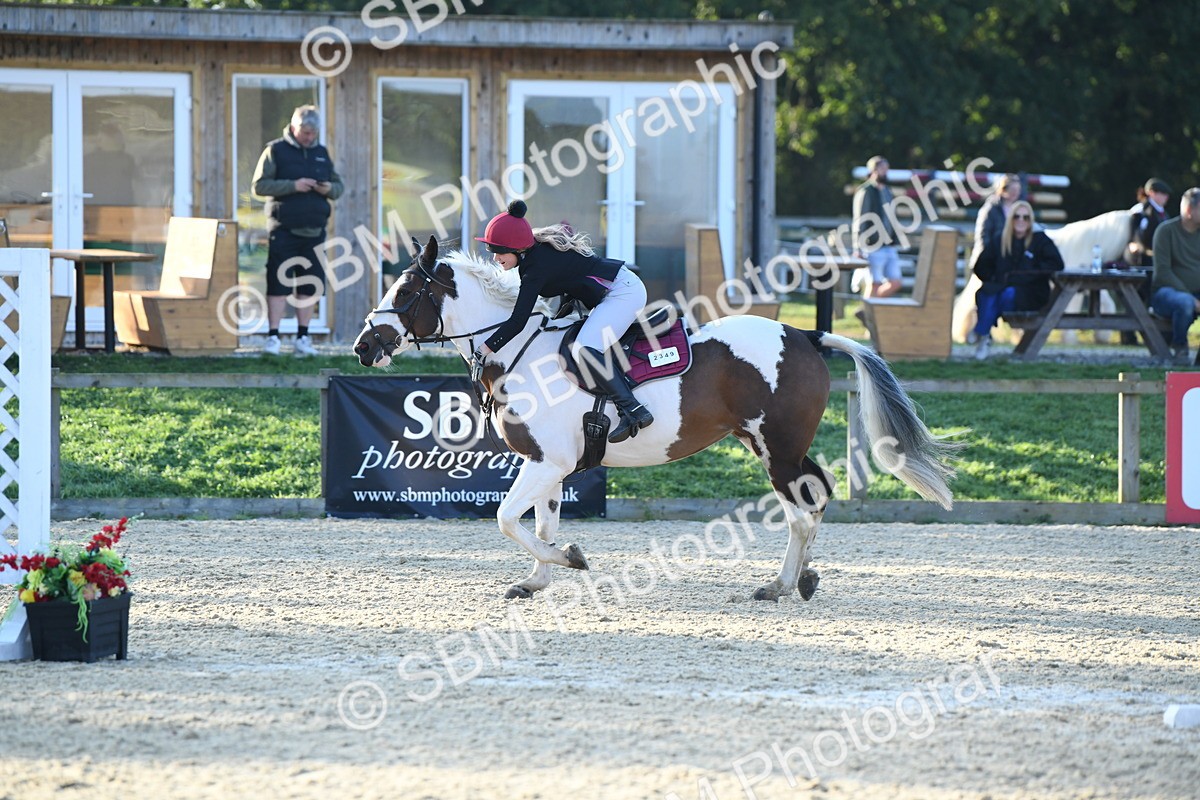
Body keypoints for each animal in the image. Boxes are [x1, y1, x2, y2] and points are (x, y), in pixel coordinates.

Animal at [354, 237, 960, 602]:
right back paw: (801, 578)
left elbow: (507, 519)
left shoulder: (548, 462)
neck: (521, 350)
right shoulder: (548, 466)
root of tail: (803, 334)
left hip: (777, 450)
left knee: (800, 513)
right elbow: (541, 523)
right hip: (769, 445)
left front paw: (570, 560)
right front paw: (536, 580)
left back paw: (782, 585)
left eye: (406, 291)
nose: (364, 346)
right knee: (815, 498)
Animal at [951, 209, 1135, 344]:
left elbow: (1107, 303)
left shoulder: (1090, 282)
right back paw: (965, 334)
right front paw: (1070, 338)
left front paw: (1102, 335)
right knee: (968, 305)